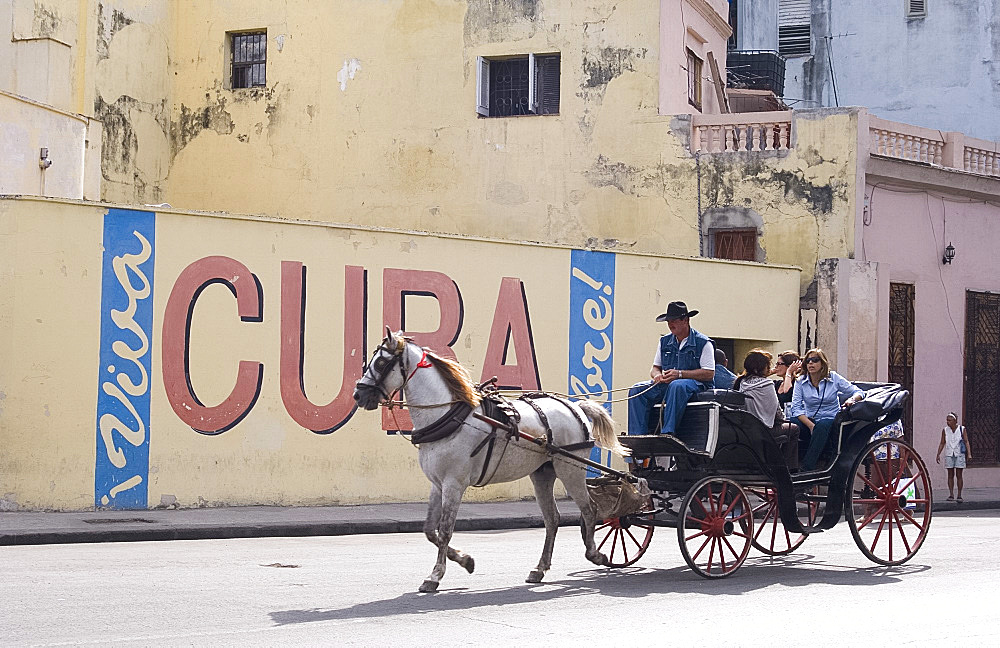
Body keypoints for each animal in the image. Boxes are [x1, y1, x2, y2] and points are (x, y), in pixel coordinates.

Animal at [356, 332, 624, 588]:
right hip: (543, 473)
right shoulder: (437, 484)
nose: (358, 394)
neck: (448, 415)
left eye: (381, 362)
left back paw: (595, 554)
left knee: (589, 510)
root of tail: (575, 407)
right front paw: (465, 560)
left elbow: (445, 530)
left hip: (571, 469)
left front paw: (435, 575)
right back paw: (540, 568)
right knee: (552, 519)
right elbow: (430, 530)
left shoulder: (454, 484)